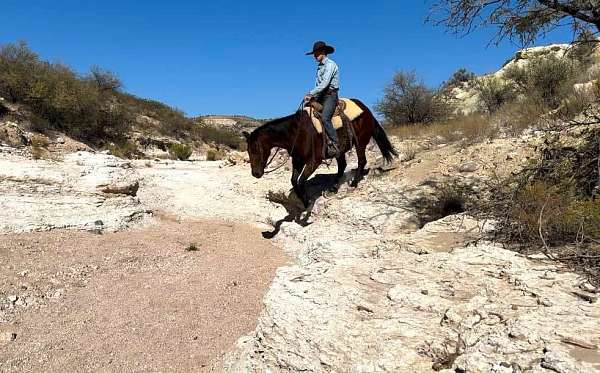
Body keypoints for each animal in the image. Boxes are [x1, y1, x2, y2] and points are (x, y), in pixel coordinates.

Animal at [241, 99, 396, 206]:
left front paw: (307, 201)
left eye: (256, 149)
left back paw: (353, 184)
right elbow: (294, 181)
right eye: (248, 150)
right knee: (342, 165)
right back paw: (333, 187)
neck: (296, 133)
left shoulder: (314, 162)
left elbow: (301, 181)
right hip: (340, 150)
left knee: (362, 161)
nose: (256, 174)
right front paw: (303, 201)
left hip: (361, 143)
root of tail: (366, 109)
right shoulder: (297, 160)